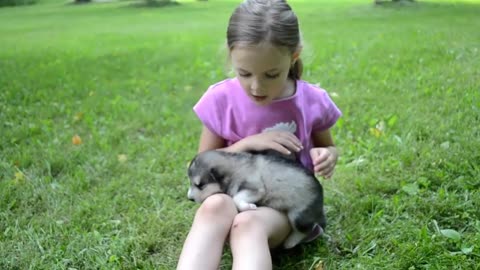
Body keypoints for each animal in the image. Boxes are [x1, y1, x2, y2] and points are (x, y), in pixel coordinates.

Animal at [188, 150, 326, 249]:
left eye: (200, 185)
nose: (189, 198)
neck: (233, 169)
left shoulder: (256, 188)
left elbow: (237, 197)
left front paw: (247, 206)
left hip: (298, 215)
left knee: (306, 229)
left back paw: (290, 242)